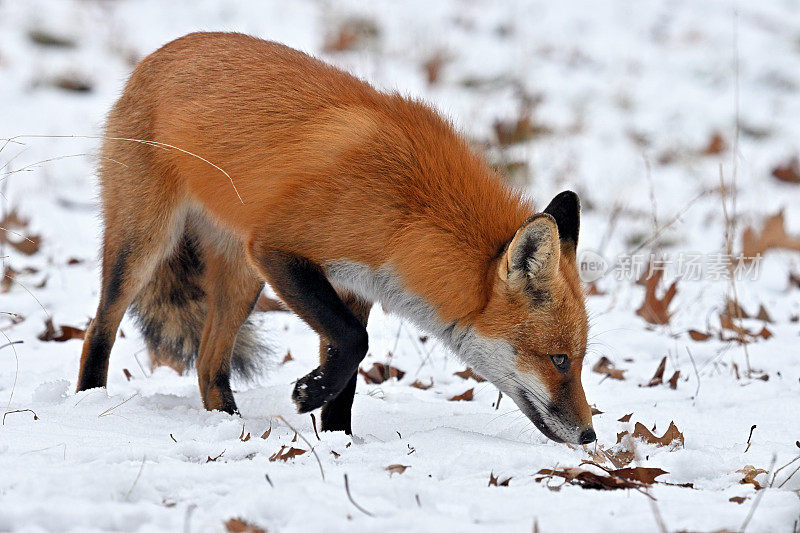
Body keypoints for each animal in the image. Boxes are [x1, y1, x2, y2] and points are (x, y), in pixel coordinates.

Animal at [76, 31, 592, 442]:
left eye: (578, 360)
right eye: (560, 360)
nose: (589, 435)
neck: (408, 211)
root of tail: (159, 54)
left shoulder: (354, 285)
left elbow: (348, 370)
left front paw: (340, 441)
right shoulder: (279, 249)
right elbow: (355, 341)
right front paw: (309, 395)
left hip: (241, 277)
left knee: (207, 366)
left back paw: (229, 427)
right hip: (147, 244)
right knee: (99, 327)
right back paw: (87, 402)